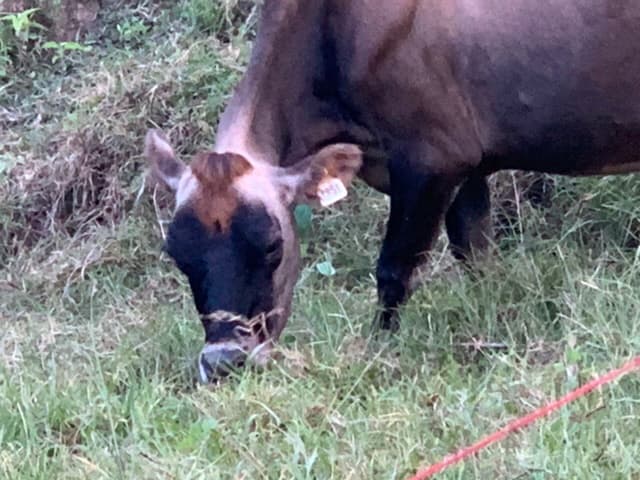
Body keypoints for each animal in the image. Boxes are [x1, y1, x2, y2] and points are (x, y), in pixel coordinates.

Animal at [145, 0, 640, 382]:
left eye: (272, 245)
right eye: (177, 255)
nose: (224, 361)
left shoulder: (433, 158)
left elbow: (394, 269)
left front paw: (379, 345)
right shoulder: (468, 166)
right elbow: (474, 252)